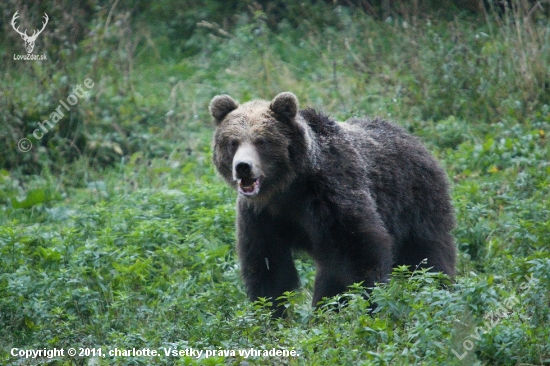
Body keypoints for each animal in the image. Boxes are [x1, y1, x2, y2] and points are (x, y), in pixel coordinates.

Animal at [209, 91, 454, 314]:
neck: (287, 188)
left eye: (261, 141)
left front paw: (371, 303)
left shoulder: (331, 194)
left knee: (427, 256)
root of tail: (415, 140)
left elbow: (361, 248)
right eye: (232, 142)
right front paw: (270, 315)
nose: (243, 167)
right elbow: (268, 266)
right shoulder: (261, 215)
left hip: (417, 204)